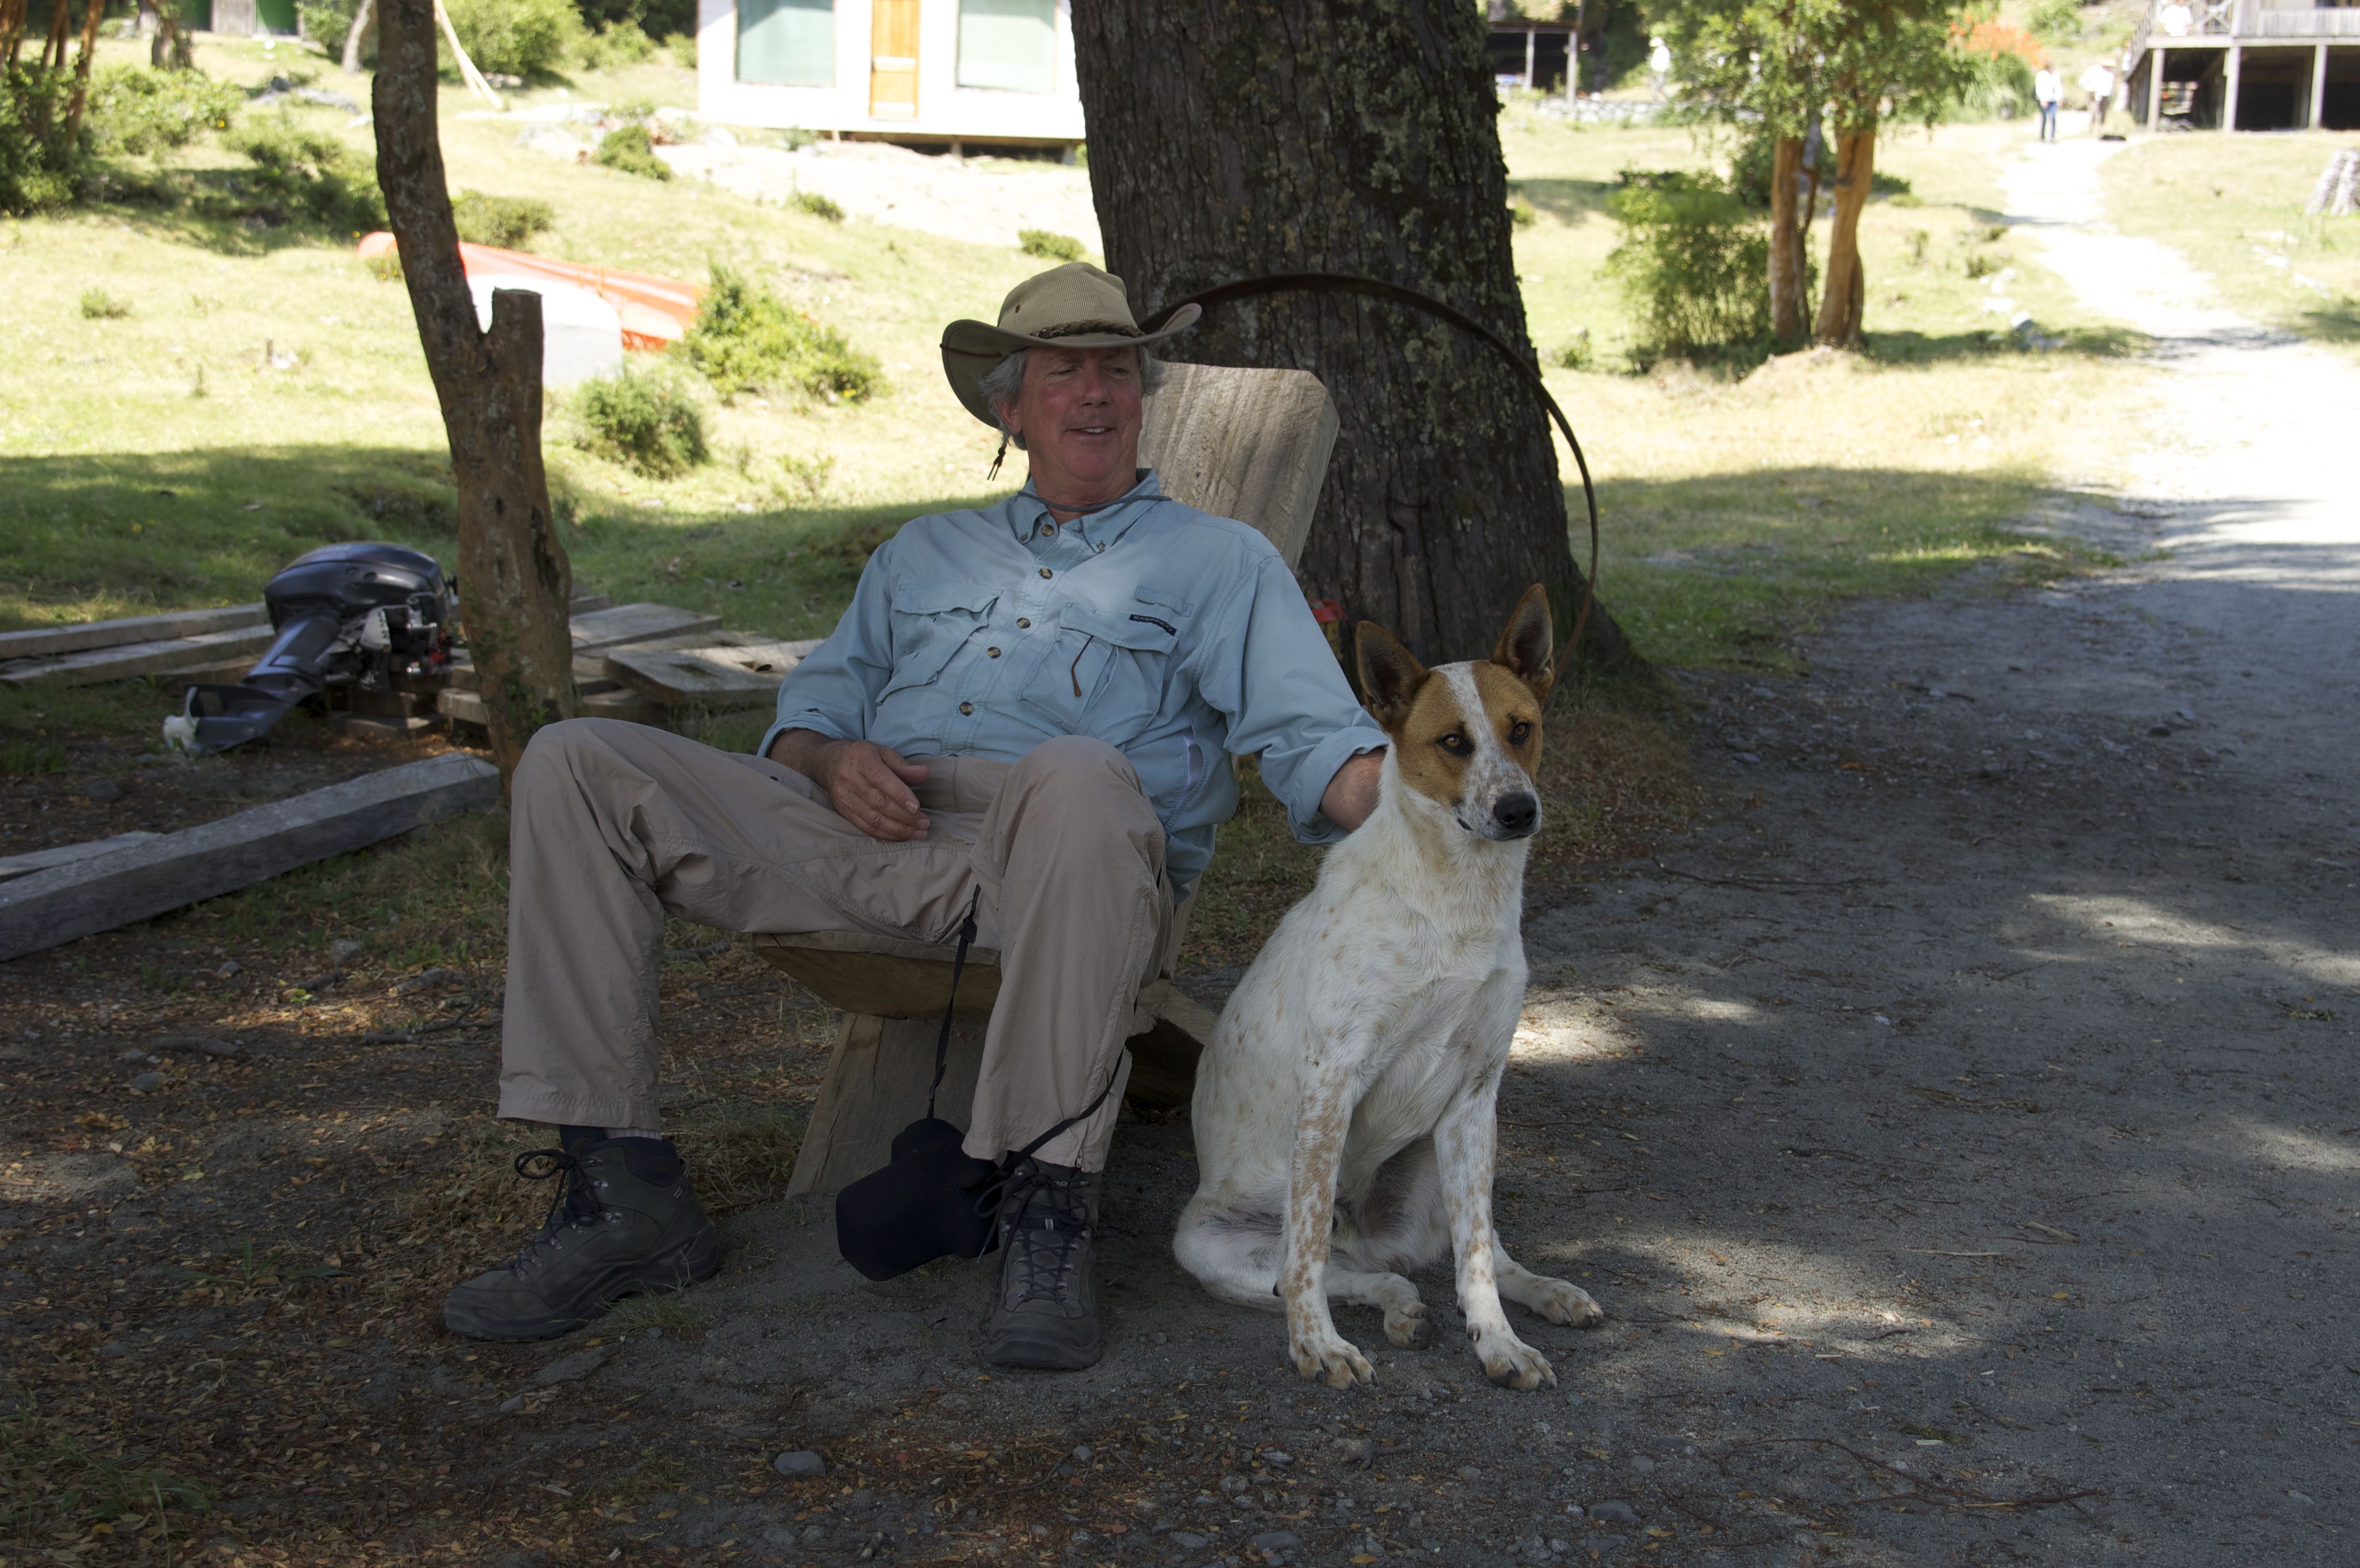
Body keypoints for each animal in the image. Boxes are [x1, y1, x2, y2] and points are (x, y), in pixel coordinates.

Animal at [1174, 585, 1606, 1390]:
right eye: (1453, 742)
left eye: (1522, 729)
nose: (1518, 811)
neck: (1458, 903)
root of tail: (1366, 1235)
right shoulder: (1332, 1082)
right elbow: (1305, 1256)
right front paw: (1316, 1345)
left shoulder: (1476, 1091)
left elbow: (1476, 1260)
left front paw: (1499, 1345)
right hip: (1209, 1245)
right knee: (1326, 1266)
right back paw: (1390, 1307)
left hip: (1447, 1162)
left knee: (1461, 1253)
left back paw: (1537, 1292)